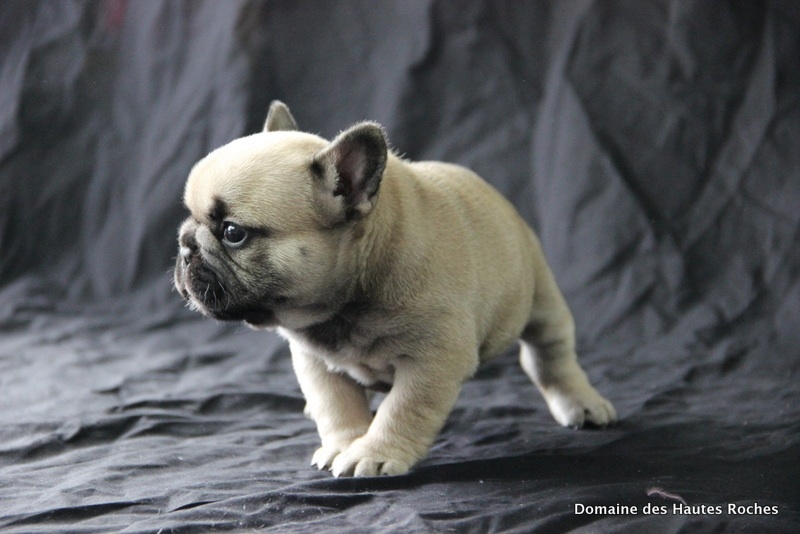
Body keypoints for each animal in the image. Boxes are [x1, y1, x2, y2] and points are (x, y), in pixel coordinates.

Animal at [172, 102, 616, 480]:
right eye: (189, 219)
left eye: (233, 233)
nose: (185, 245)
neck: (346, 302)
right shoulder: (315, 362)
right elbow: (336, 405)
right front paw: (344, 443)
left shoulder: (433, 360)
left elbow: (404, 408)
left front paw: (373, 452)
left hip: (541, 297)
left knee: (550, 356)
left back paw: (581, 403)